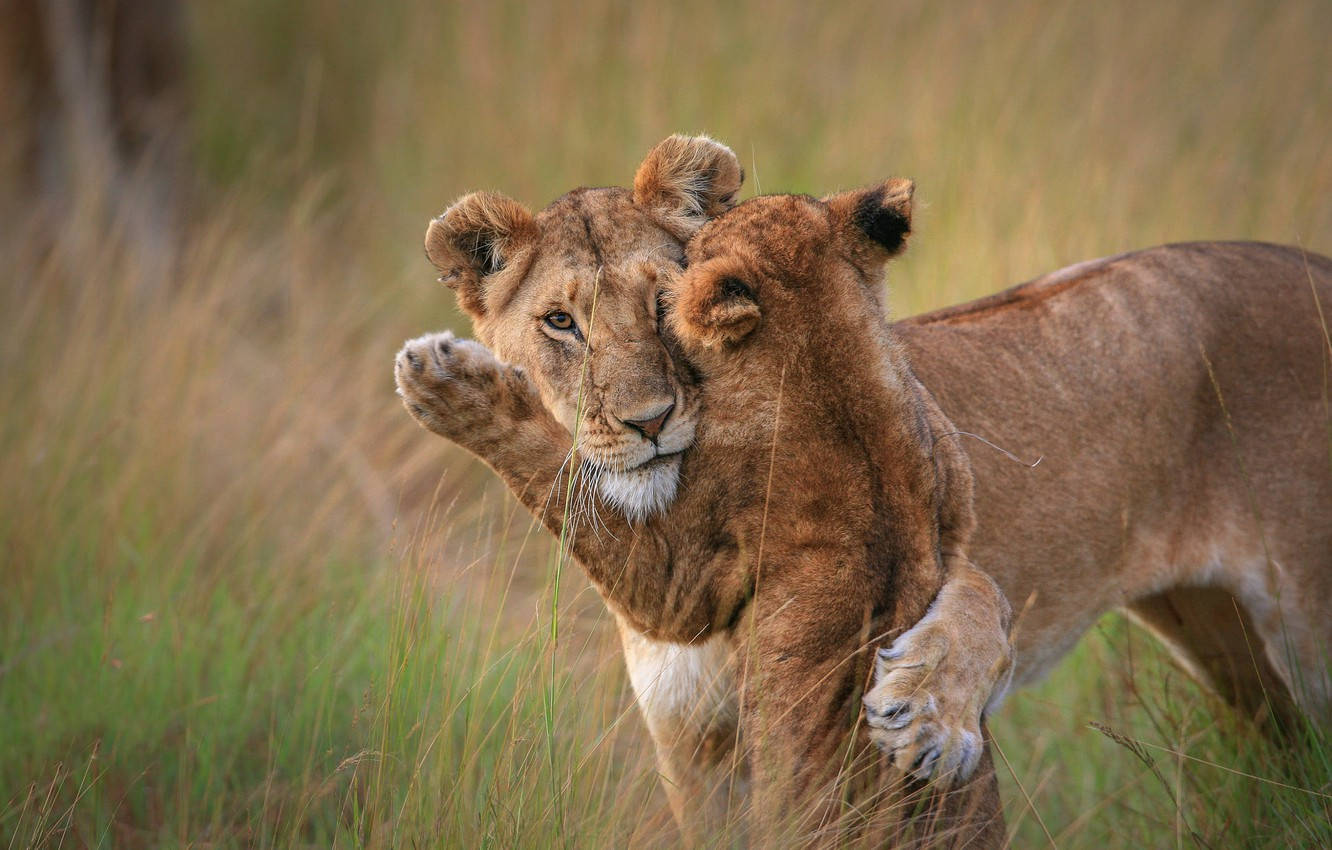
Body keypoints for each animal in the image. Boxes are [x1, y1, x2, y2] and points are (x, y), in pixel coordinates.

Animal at [397, 179, 1009, 844]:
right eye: (561, 322)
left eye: (662, 302)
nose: (649, 421)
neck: (834, 366)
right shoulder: (953, 504)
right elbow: (980, 591)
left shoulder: (686, 576)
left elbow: (569, 483)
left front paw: (448, 384)